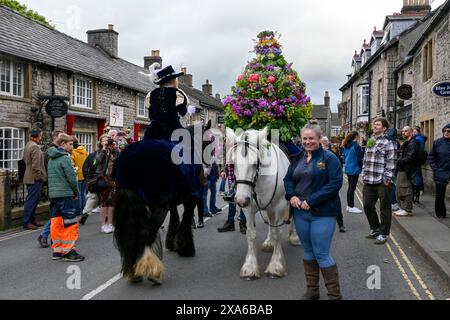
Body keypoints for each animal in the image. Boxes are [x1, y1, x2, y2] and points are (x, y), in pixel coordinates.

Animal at [112, 121, 211, 284]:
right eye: (211, 139)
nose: (210, 164)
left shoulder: (173, 202)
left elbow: (175, 219)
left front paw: (172, 243)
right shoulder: (191, 199)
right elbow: (185, 220)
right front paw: (186, 248)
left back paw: (135, 270)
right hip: (159, 206)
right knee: (146, 233)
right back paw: (151, 270)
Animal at [227, 127, 298, 280]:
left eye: (255, 163)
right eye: (233, 164)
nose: (241, 200)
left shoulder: (279, 205)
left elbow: (278, 233)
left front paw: (276, 266)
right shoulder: (249, 208)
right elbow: (250, 234)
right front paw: (250, 267)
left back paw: (294, 237)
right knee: (271, 221)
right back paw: (269, 242)